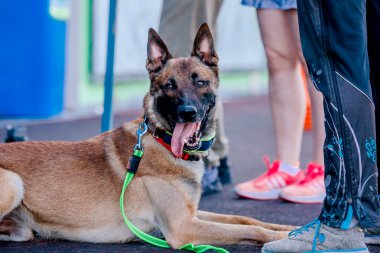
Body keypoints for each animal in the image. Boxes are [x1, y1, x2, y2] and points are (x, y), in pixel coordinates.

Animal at [0, 24, 290, 249]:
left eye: (200, 82)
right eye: (169, 86)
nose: (188, 113)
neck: (162, 139)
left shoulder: (193, 213)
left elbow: (246, 220)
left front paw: (288, 230)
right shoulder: (183, 227)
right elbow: (250, 229)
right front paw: (279, 239)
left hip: (22, 224)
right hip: (14, 182)